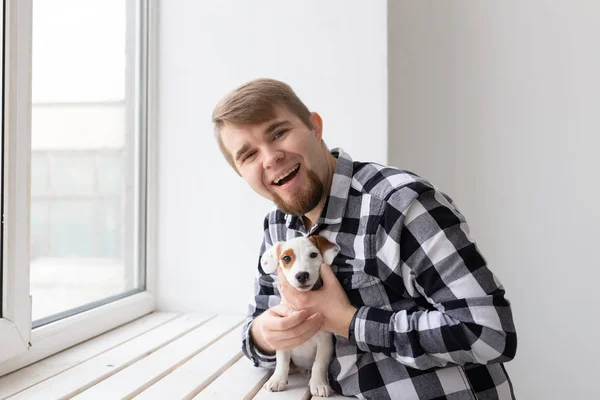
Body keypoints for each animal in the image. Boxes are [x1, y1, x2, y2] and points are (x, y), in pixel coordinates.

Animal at [260, 236, 340, 396]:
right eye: (286, 258)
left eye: (313, 255)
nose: (302, 275)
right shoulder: (283, 339)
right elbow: (282, 361)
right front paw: (277, 379)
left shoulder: (325, 342)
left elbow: (319, 364)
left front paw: (319, 384)